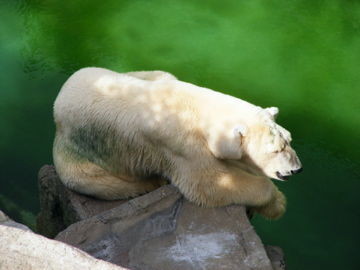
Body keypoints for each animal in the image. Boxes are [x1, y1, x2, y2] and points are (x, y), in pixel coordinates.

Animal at [52, 67, 300, 219]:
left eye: (289, 140)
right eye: (275, 149)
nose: (297, 169)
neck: (197, 107)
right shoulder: (183, 146)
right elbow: (210, 184)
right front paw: (277, 203)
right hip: (79, 153)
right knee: (99, 182)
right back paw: (152, 182)